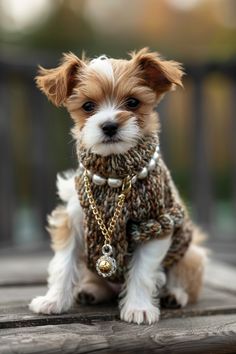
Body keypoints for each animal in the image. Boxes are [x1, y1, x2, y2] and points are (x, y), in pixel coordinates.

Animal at [29, 48, 206, 324]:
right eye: (88, 106)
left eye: (132, 102)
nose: (110, 125)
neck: (114, 175)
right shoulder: (72, 220)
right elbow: (62, 265)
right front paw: (53, 300)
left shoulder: (155, 224)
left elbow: (142, 272)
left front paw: (138, 307)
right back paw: (90, 290)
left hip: (190, 254)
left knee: (185, 279)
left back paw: (174, 294)